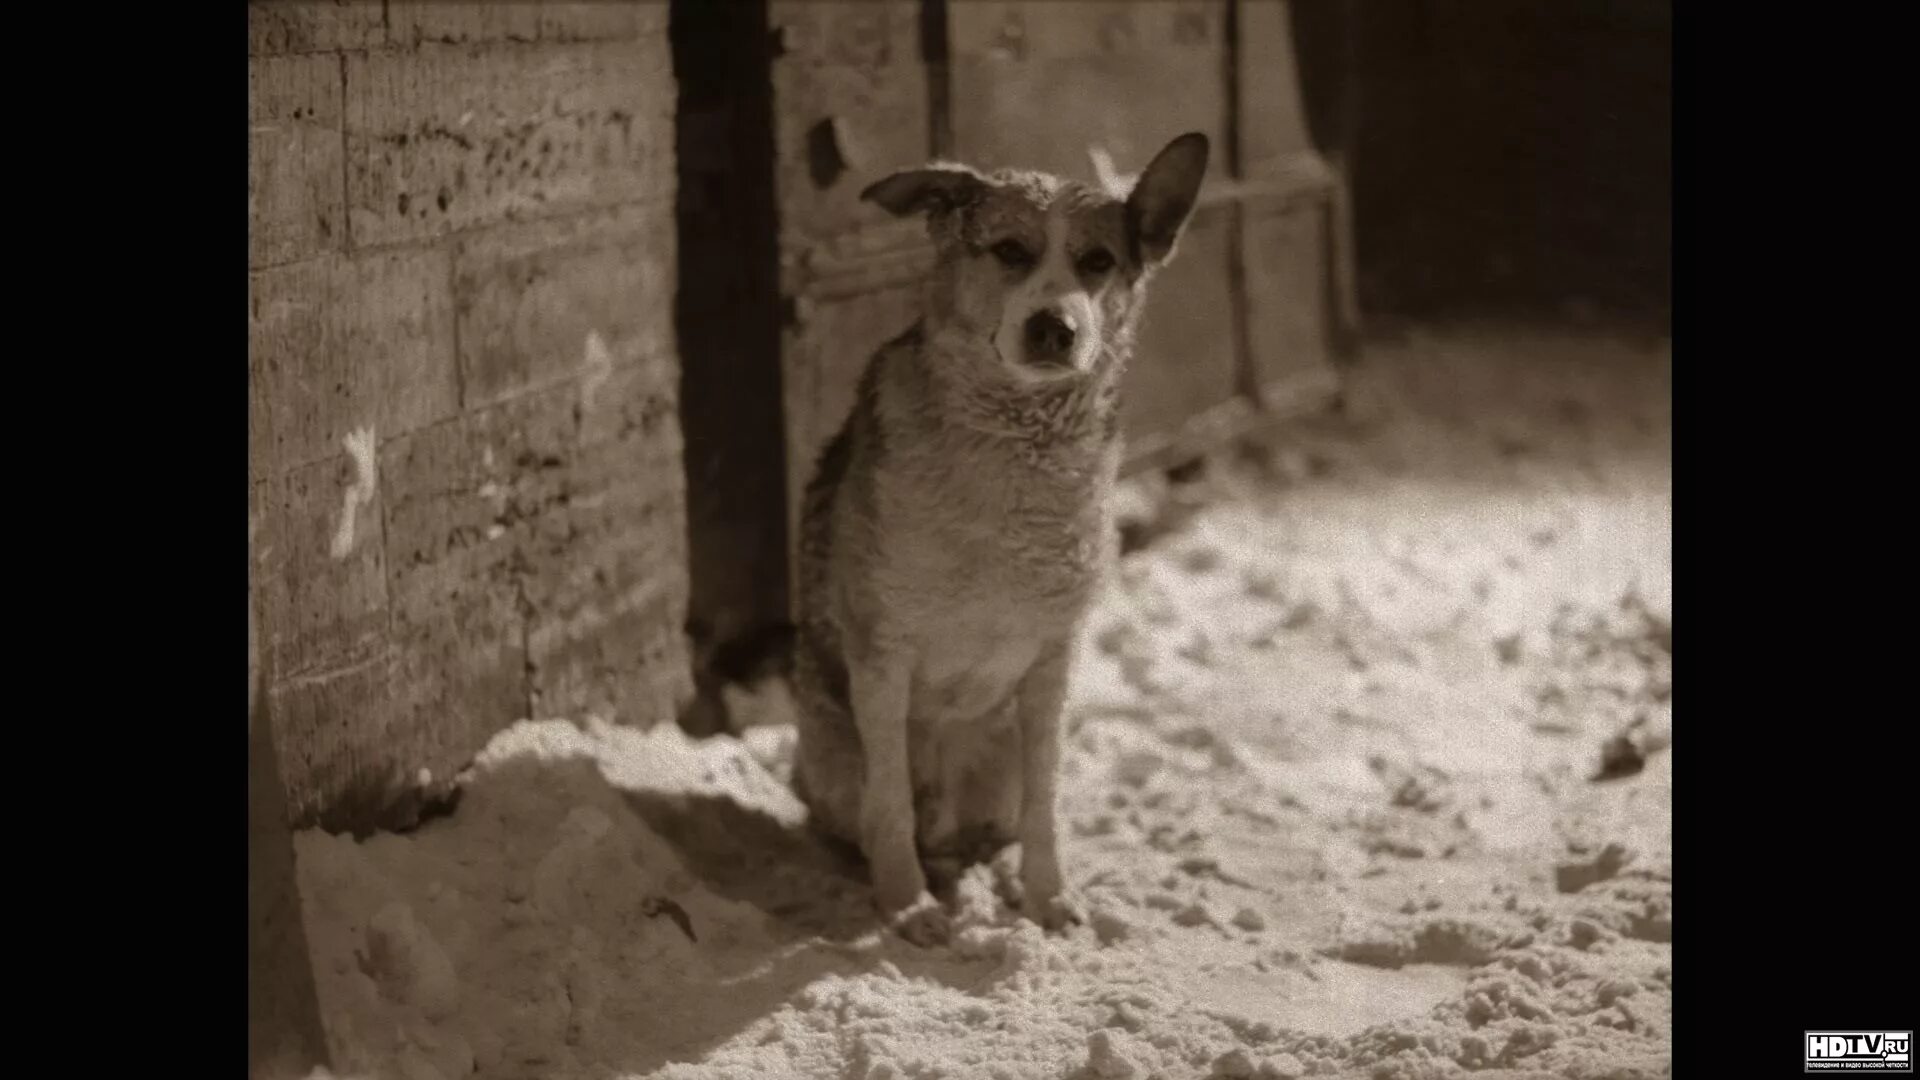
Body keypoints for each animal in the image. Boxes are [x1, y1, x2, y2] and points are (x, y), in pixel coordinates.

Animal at [787, 132, 1205, 941]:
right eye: (1010, 250)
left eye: (1098, 261)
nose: (1054, 328)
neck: (1016, 450)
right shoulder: (882, 653)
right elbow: (890, 804)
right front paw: (908, 905)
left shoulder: (1051, 665)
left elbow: (1045, 805)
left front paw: (1048, 897)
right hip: (830, 747)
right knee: (864, 818)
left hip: (998, 755)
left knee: (998, 826)